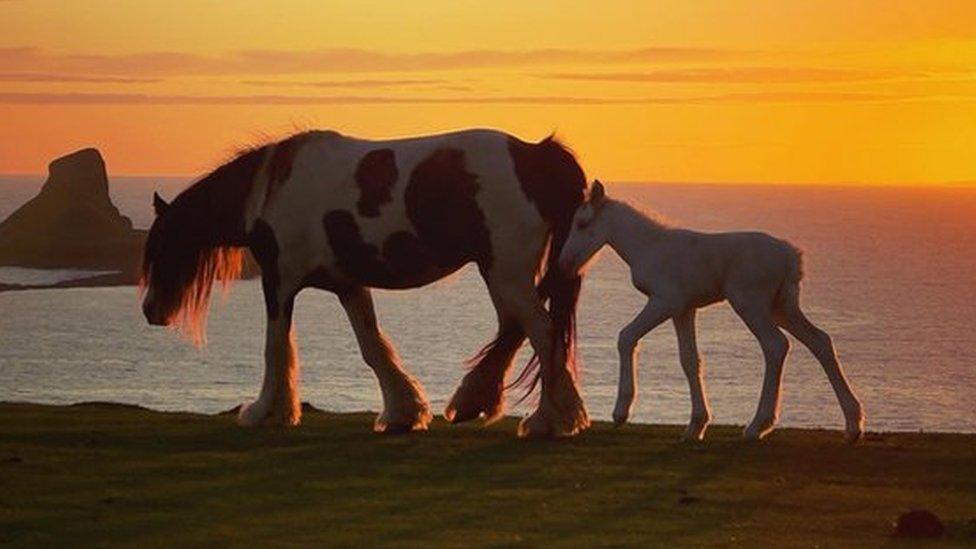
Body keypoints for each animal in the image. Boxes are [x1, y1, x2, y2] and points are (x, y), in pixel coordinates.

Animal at [141, 128, 592, 436]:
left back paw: (549, 420)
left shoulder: (278, 282)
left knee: (542, 331)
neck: (269, 192)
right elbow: (373, 346)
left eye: (160, 248)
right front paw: (402, 412)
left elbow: (275, 347)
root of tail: (535, 155)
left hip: (506, 274)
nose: (149, 311)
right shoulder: (348, 285)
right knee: (517, 329)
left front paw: (263, 411)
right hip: (503, 275)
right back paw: (480, 400)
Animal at [556, 182, 860, 444]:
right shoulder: (685, 309)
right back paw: (853, 425)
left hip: (751, 303)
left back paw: (757, 427)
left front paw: (621, 412)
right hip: (783, 306)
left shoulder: (665, 301)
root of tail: (791, 257)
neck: (649, 247)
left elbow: (626, 337)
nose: (565, 263)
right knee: (820, 341)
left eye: (582, 224)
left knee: (775, 345)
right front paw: (696, 426)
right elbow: (690, 360)